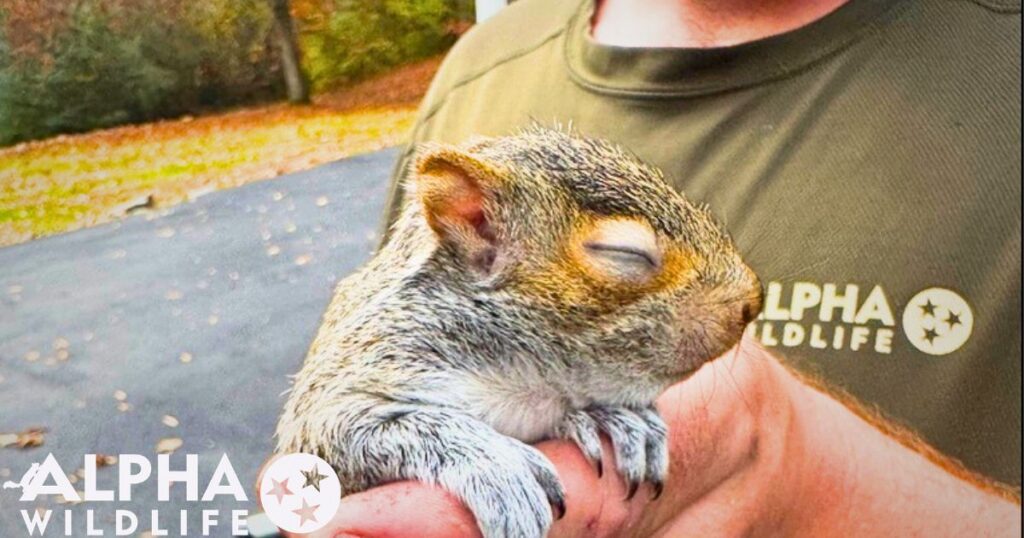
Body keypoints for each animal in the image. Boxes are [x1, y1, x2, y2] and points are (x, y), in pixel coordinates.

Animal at [275, 126, 763, 538]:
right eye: (625, 254)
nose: (752, 301)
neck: (523, 377)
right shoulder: (364, 364)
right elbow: (353, 429)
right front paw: (496, 464)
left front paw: (621, 420)